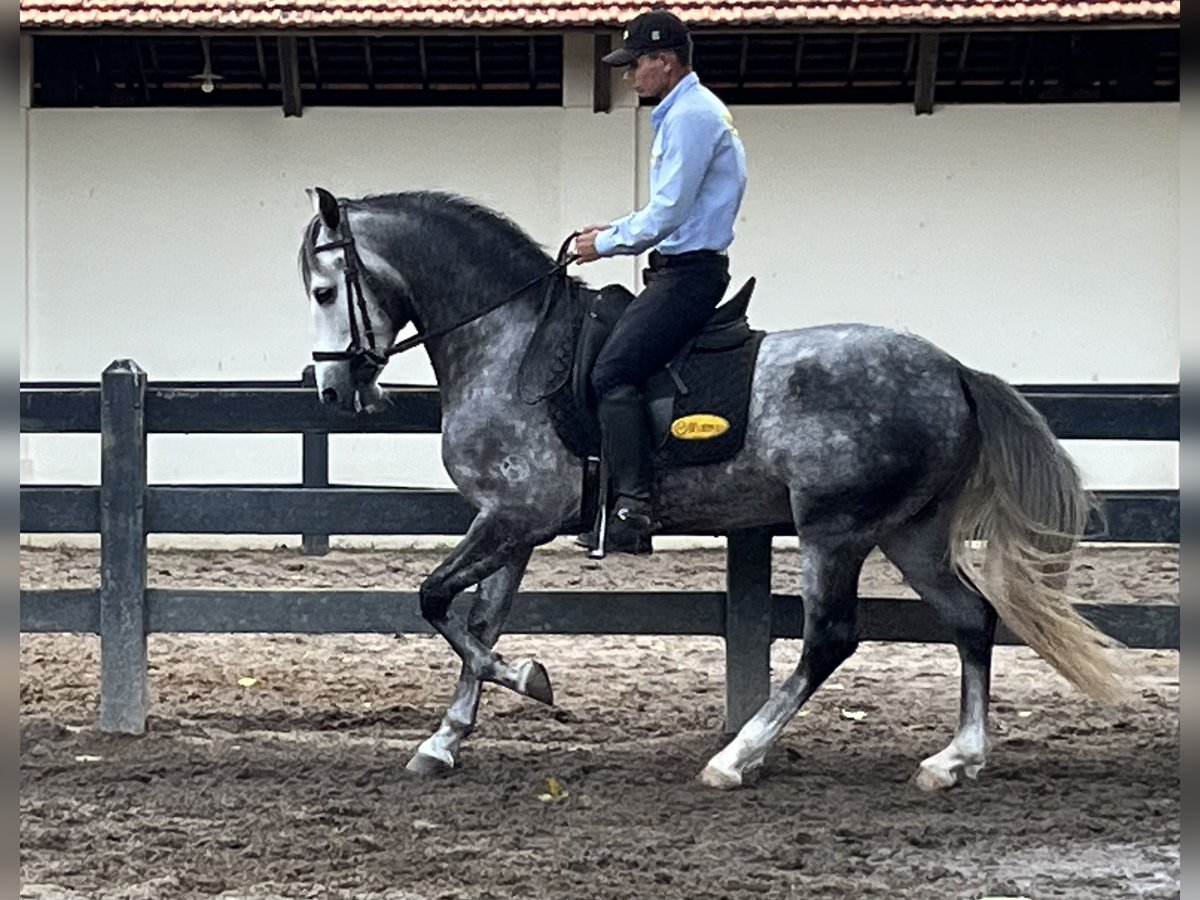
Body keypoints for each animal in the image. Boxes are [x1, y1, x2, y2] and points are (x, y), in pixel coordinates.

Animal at [295, 188, 1118, 787]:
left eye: (325, 289)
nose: (334, 389)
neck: (514, 347)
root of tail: (953, 371)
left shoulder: (517, 515)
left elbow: (437, 601)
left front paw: (530, 680)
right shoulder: (513, 523)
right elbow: (481, 620)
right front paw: (444, 741)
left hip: (836, 531)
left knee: (830, 638)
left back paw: (735, 758)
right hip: (908, 531)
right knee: (971, 619)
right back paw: (954, 760)